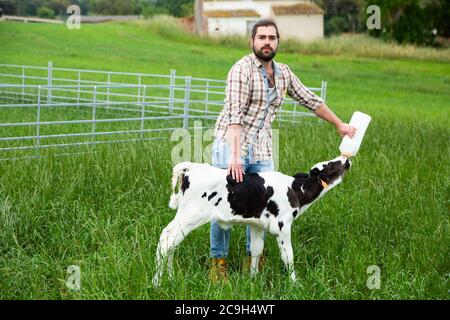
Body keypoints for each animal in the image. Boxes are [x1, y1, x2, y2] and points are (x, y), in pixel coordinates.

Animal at [154, 155, 352, 284]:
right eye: (332, 164)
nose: (347, 159)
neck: (295, 190)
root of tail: (192, 167)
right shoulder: (282, 226)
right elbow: (288, 256)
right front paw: (295, 284)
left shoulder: (257, 225)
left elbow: (256, 250)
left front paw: (253, 279)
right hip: (190, 216)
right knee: (166, 241)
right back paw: (157, 282)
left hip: (184, 216)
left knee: (170, 243)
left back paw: (170, 278)